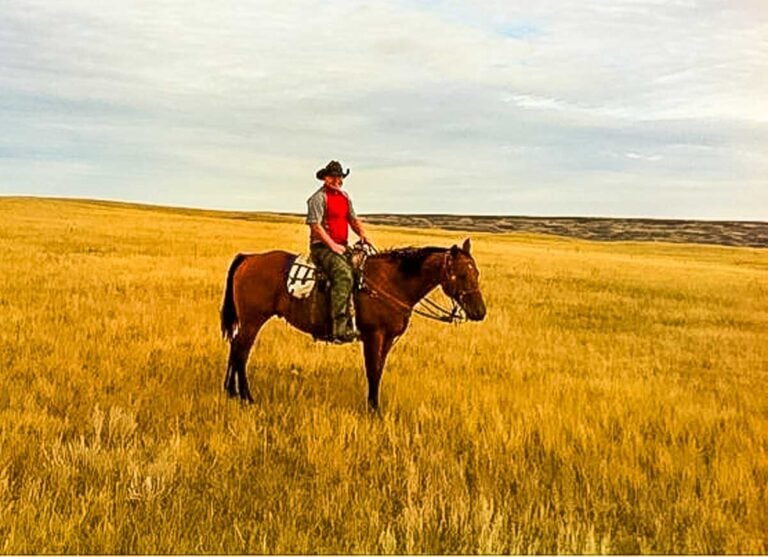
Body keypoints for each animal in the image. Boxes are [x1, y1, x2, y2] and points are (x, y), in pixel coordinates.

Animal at [222, 237, 486, 410]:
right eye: (462, 274)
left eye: (477, 273)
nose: (480, 312)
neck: (391, 283)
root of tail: (249, 258)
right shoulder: (373, 335)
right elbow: (371, 370)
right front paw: (373, 409)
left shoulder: (388, 338)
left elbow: (378, 370)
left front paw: (374, 405)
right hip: (253, 320)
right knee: (241, 351)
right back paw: (246, 397)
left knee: (235, 348)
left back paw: (231, 392)